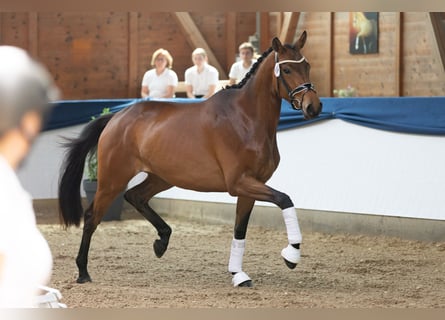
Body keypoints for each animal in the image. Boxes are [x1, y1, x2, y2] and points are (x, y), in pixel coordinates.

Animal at [59, 31, 322, 288]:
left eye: (307, 66)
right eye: (286, 70)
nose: (314, 107)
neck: (246, 119)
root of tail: (116, 117)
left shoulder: (249, 187)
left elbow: (240, 230)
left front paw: (238, 275)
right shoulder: (239, 182)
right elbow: (284, 200)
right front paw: (291, 255)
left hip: (162, 177)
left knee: (135, 196)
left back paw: (161, 241)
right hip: (113, 179)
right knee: (92, 217)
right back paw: (83, 271)